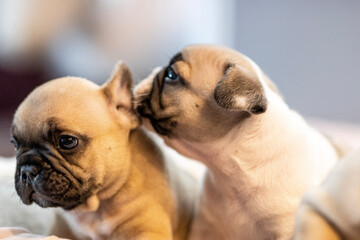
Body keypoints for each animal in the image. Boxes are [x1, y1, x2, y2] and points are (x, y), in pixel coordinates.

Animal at [11, 63, 197, 240]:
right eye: (15, 144)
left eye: (67, 141)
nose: (27, 170)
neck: (95, 208)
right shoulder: (61, 229)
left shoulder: (147, 232)